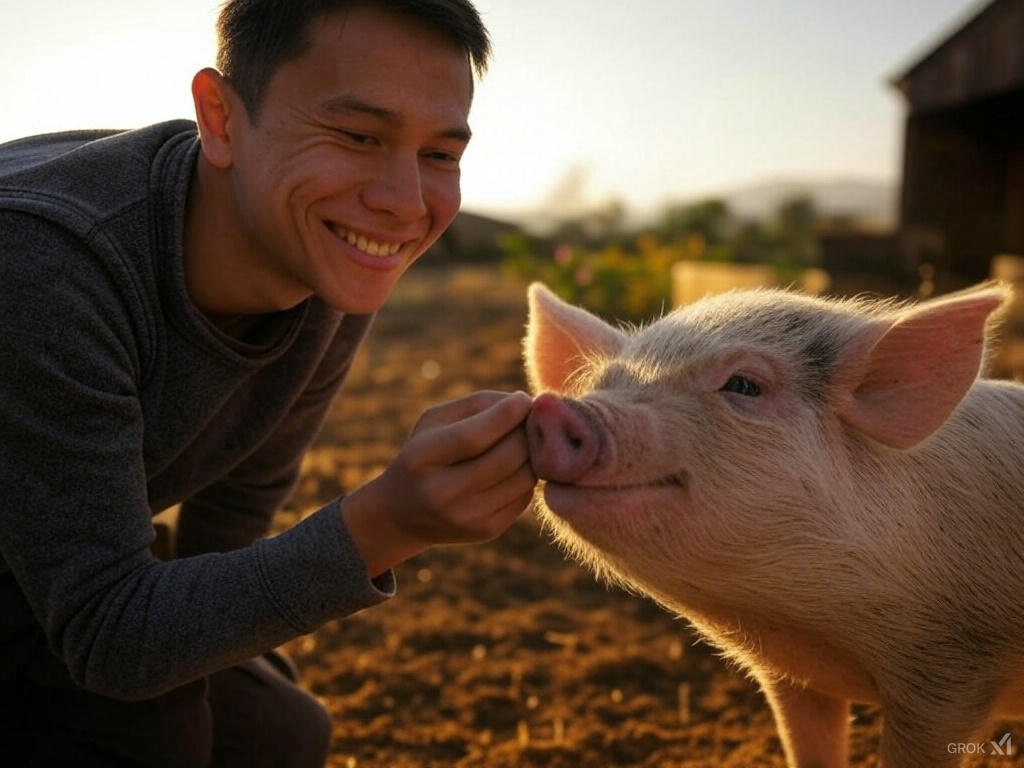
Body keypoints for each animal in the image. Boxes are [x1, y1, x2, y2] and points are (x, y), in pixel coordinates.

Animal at [524, 282, 1024, 768]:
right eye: (601, 383)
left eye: (745, 385)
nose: (557, 409)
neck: (810, 628)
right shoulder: (794, 678)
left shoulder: (951, 672)